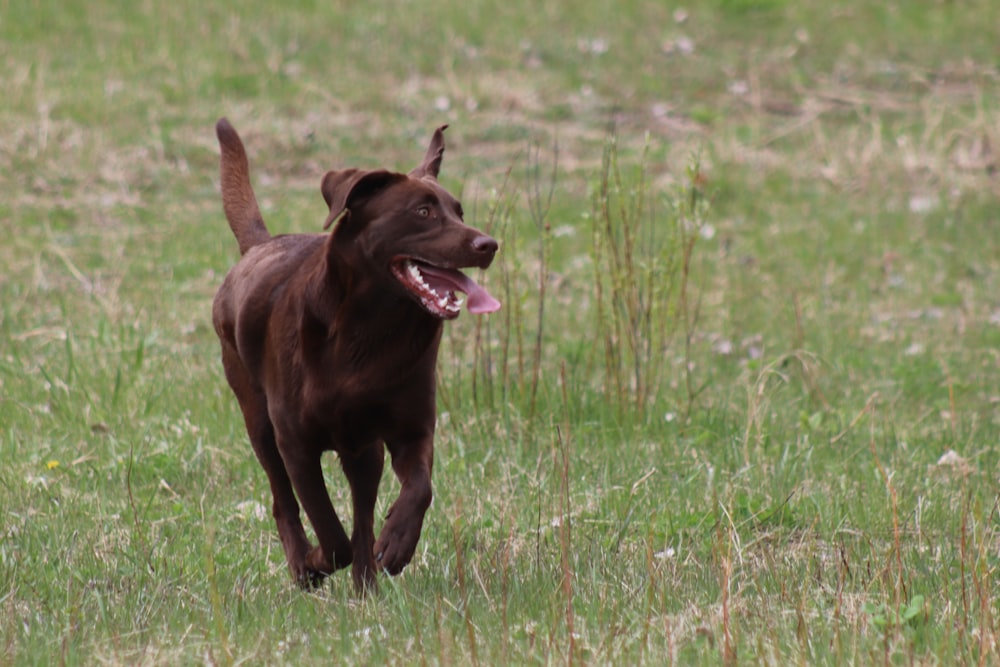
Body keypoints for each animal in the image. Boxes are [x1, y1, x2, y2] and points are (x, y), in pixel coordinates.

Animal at [215, 117, 504, 592]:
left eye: (459, 212)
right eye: (422, 212)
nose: (488, 244)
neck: (371, 333)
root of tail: (259, 246)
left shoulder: (410, 429)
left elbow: (418, 490)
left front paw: (397, 544)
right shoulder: (295, 442)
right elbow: (330, 532)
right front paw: (315, 561)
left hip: (363, 453)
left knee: (362, 516)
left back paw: (366, 584)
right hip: (258, 420)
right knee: (283, 501)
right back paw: (305, 565)